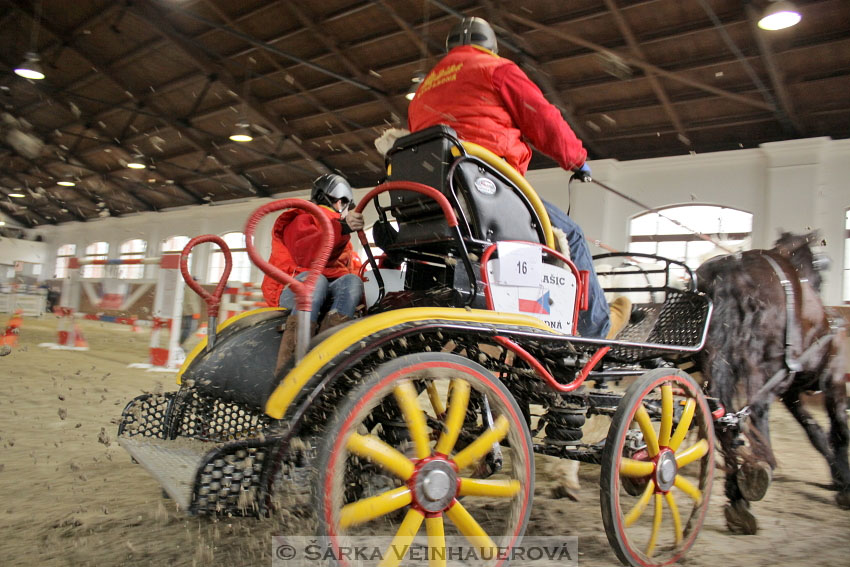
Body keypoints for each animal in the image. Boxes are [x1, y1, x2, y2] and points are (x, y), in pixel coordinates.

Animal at [696, 230, 848, 532]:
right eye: (818, 274)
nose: (818, 290)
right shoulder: (832, 380)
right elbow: (839, 429)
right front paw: (844, 483)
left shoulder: (792, 392)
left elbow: (815, 432)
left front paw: (837, 477)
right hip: (763, 362)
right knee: (754, 410)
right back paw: (759, 472)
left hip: (722, 358)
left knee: (723, 415)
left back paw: (737, 494)